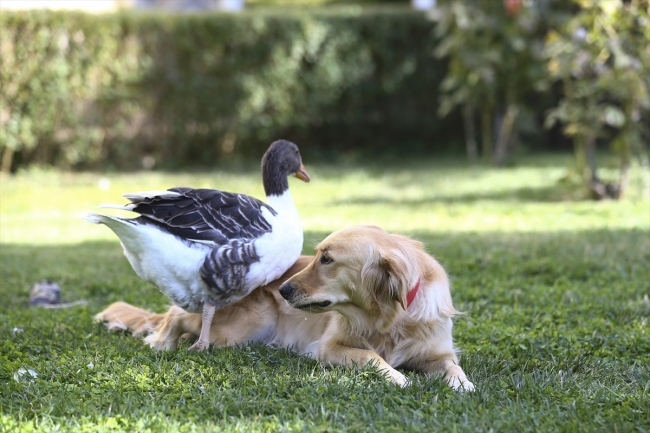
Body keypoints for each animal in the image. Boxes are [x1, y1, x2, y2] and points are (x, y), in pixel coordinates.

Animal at [95, 224, 470, 390]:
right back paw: (162, 342)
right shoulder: (329, 348)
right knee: (178, 317)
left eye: (327, 260)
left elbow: (454, 367)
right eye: (317, 255)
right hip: (240, 328)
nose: (283, 289)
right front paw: (396, 375)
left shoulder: (437, 352)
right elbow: (370, 356)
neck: (388, 320)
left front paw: (463, 385)